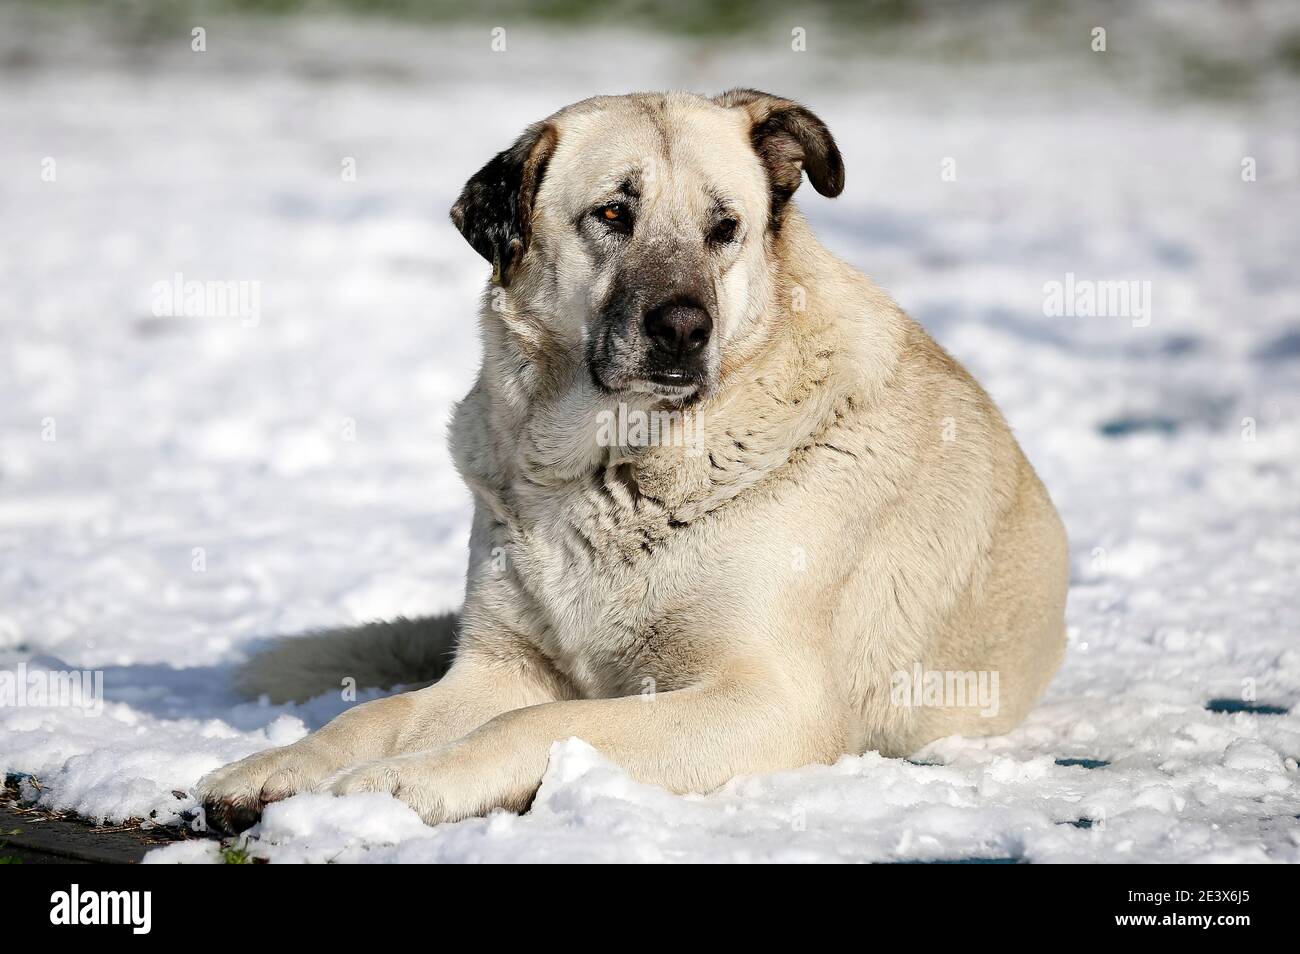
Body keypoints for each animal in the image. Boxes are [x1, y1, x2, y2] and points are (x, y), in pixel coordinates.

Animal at [195, 91, 1066, 837]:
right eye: (613, 213)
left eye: (726, 227)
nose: (682, 329)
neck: (608, 468)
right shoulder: (499, 665)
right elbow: (381, 713)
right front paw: (283, 765)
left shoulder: (767, 701)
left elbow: (543, 723)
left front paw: (402, 782)